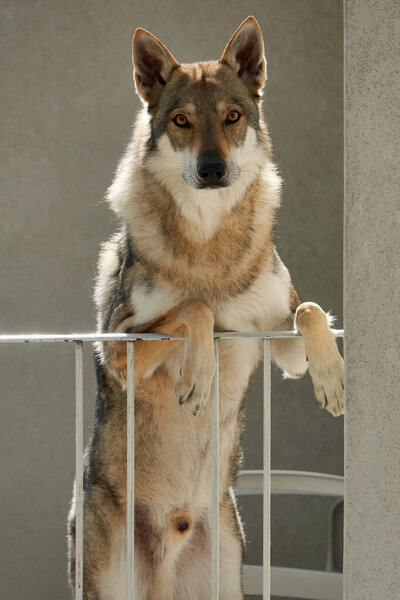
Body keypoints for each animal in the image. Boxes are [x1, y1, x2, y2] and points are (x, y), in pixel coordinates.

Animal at [68, 15, 344, 600]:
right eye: (182, 121)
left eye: (232, 118)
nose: (213, 169)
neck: (208, 241)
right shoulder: (118, 348)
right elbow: (195, 308)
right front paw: (198, 375)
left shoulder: (280, 346)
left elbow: (308, 309)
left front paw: (332, 378)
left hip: (225, 576)